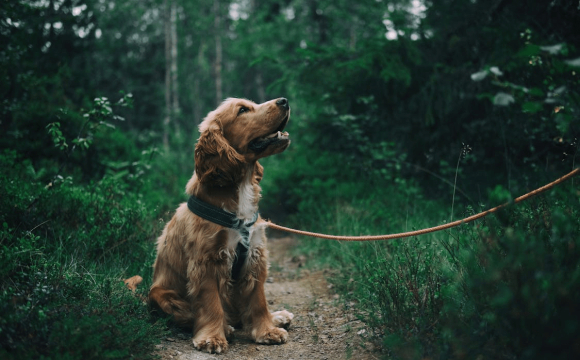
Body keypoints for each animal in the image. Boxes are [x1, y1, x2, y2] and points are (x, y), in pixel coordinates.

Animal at [150, 97, 294, 352]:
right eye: (243, 110)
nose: (284, 100)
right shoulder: (207, 260)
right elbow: (210, 303)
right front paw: (212, 338)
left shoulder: (255, 255)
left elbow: (258, 300)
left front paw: (267, 330)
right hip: (162, 296)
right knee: (190, 314)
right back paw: (226, 327)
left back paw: (277, 316)